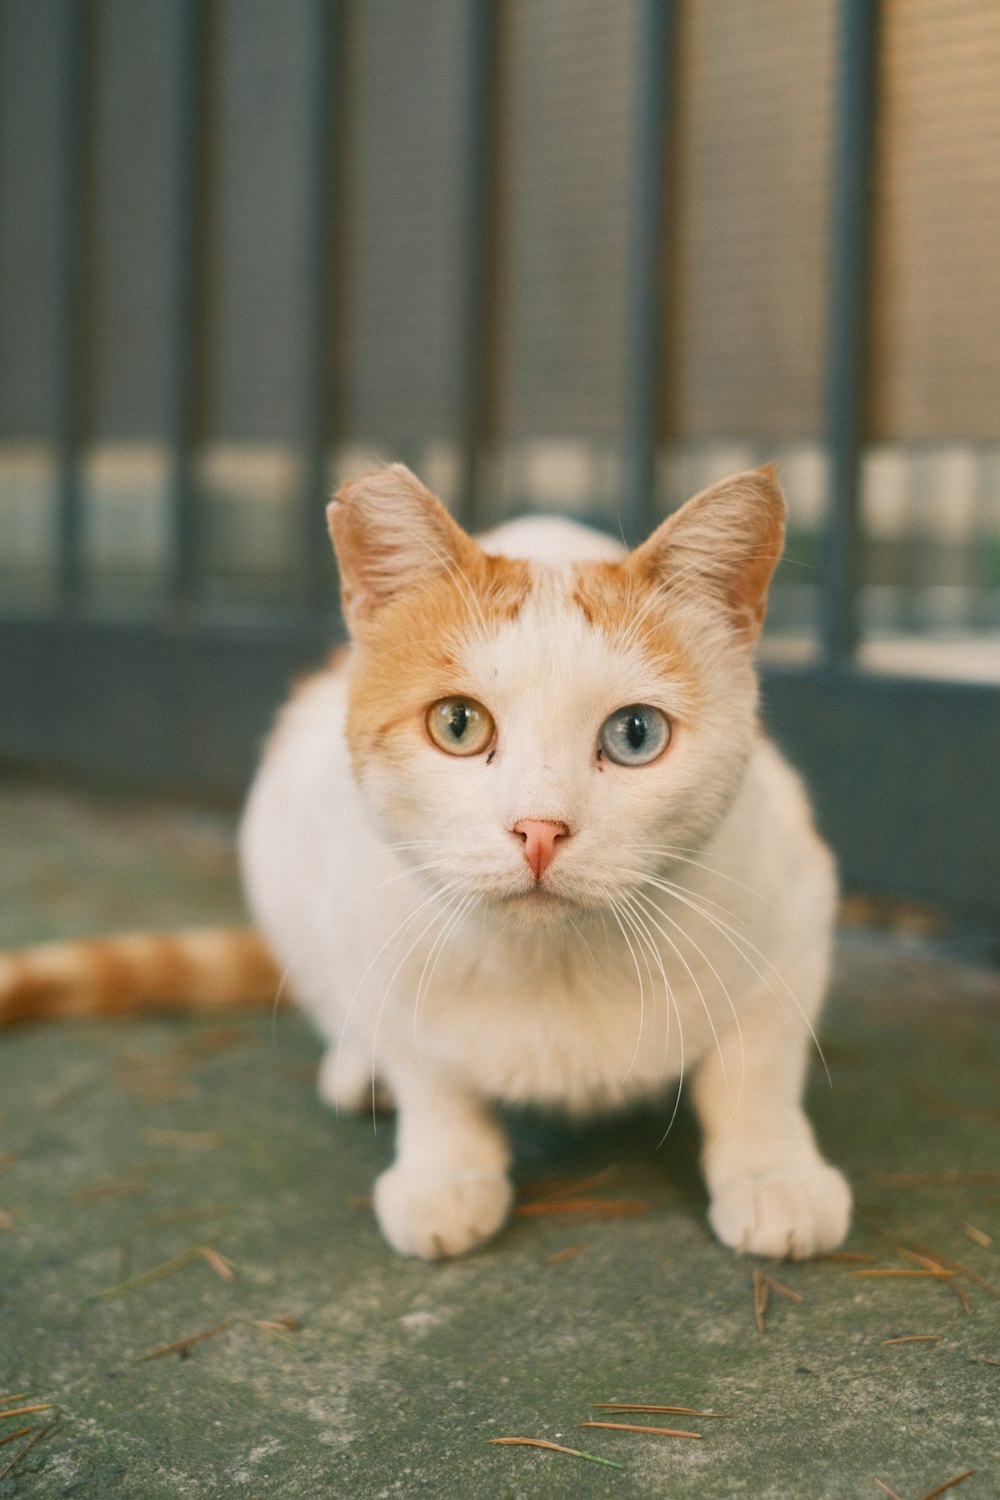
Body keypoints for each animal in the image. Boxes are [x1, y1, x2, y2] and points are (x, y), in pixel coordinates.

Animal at [236, 462, 851, 1260]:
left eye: (635, 733)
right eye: (457, 724)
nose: (538, 830)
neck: (555, 966)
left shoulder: (795, 909)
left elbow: (758, 1071)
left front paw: (773, 1174)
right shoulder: (365, 924)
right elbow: (429, 1072)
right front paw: (444, 1170)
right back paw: (356, 1068)